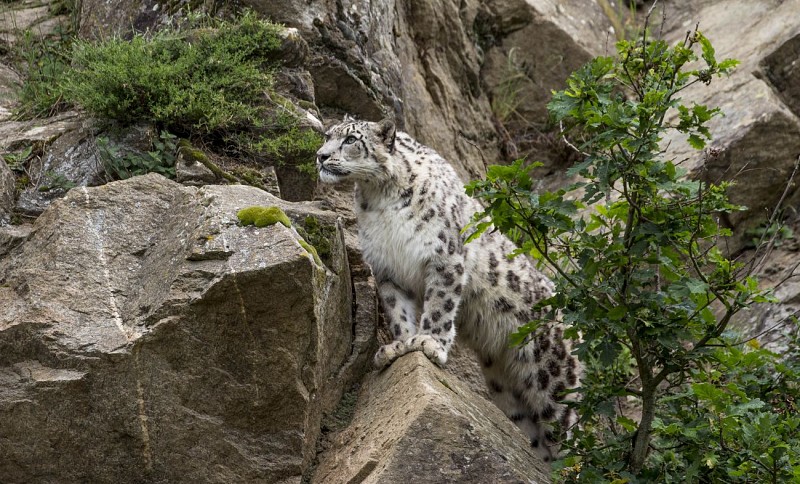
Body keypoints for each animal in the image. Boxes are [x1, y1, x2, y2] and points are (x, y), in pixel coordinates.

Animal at [314, 115, 580, 460]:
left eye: (350, 140)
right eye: (327, 136)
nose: (321, 156)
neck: (380, 199)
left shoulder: (444, 258)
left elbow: (439, 305)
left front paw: (430, 343)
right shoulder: (387, 270)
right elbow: (398, 311)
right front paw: (400, 345)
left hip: (552, 377)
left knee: (568, 428)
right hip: (505, 385)